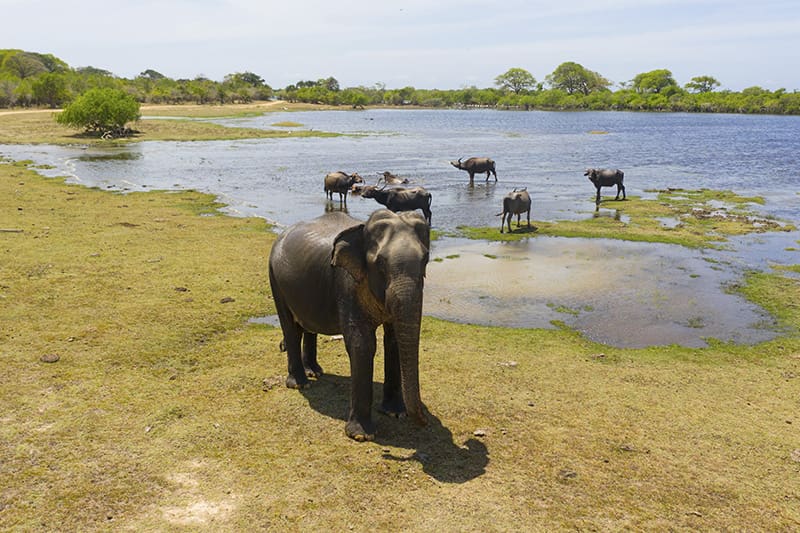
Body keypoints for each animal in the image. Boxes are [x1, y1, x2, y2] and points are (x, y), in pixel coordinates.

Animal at [268, 209, 431, 441]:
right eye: (380, 263)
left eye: (426, 259)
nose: (424, 422)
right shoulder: (346, 284)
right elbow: (362, 344)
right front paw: (362, 435)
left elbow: (393, 341)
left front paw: (396, 413)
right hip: (274, 278)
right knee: (290, 328)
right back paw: (300, 383)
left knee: (307, 326)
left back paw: (314, 372)